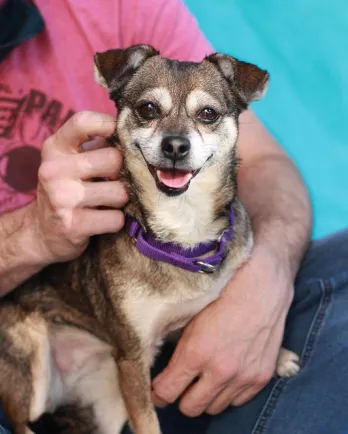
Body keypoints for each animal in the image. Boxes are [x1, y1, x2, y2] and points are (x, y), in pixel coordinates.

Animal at [0, 45, 300, 434]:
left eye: (208, 113)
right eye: (148, 109)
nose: (175, 145)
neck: (182, 227)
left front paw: (277, 355)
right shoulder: (132, 359)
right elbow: (147, 423)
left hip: (108, 403)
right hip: (33, 374)